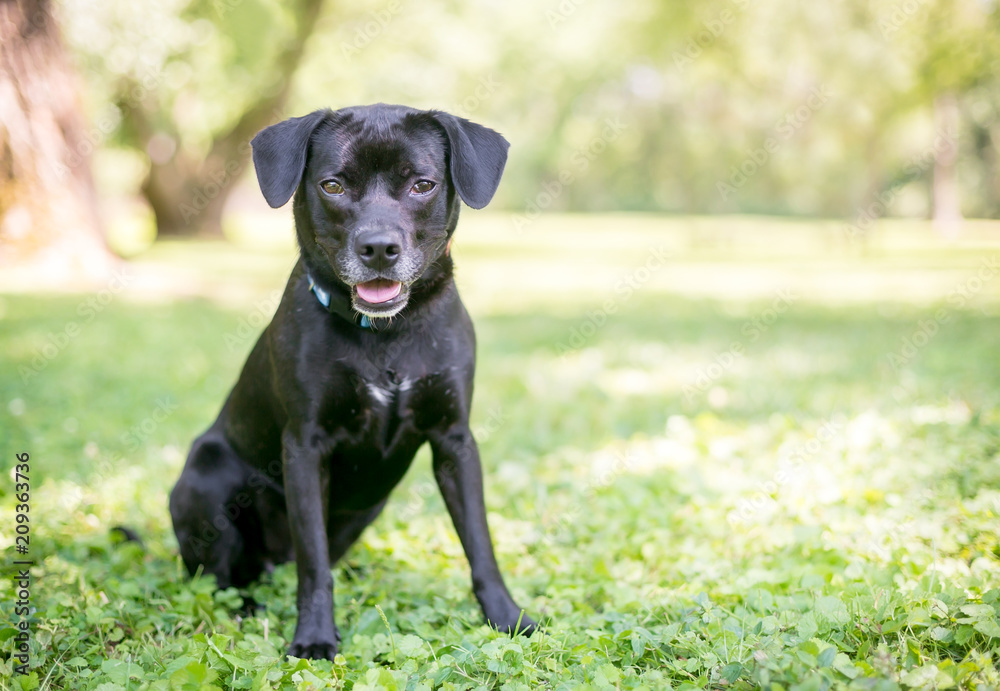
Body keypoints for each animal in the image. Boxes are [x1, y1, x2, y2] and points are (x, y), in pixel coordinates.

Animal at [168, 102, 536, 660]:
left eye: (422, 184)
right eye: (333, 185)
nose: (379, 248)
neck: (386, 335)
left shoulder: (455, 442)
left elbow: (481, 543)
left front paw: (507, 617)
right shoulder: (304, 447)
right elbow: (314, 562)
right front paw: (315, 637)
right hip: (205, 478)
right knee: (223, 577)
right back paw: (246, 610)